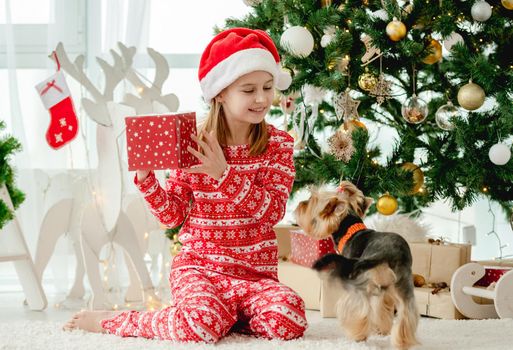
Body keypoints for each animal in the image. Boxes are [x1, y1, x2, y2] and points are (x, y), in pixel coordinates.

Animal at [294, 182, 418, 348]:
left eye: (311, 200)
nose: (300, 205)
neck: (350, 232)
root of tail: (389, 253)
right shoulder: (384, 292)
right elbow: (382, 309)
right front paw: (381, 330)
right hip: (402, 282)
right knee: (407, 311)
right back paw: (403, 341)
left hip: (362, 280)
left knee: (360, 306)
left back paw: (358, 336)